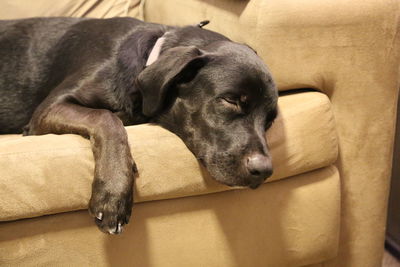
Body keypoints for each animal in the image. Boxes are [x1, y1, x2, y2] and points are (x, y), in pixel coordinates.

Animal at [0, 17, 278, 234]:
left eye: (270, 120)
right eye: (231, 100)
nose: (264, 170)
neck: (148, 58)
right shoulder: (49, 109)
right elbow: (106, 117)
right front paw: (112, 195)